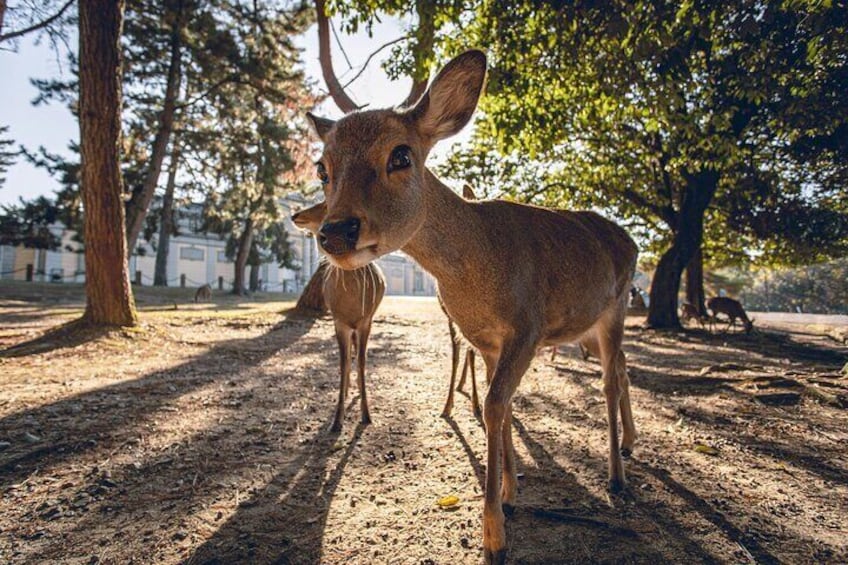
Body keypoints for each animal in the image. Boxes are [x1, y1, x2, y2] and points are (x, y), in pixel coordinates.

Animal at [292, 200, 384, 430]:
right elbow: (343, 364)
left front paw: (366, 415)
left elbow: (362, 361)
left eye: (326, 204)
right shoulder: (338, 321)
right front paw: (336, 421)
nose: (295, 215)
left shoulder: (366, 321)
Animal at [304, 50, 636, 560]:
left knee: (608, 381)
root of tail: (632, 242)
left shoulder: (527, 326)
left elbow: (496, 406)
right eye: (322, 168)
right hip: (593, 326)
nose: (336, 232)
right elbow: (505, 405)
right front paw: (512, 492)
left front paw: (494, 536)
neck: (477, 274)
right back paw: (630, 449)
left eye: (401, 155)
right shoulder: (484, 338)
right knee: (621, 367)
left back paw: (616, 477)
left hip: (615, 308)